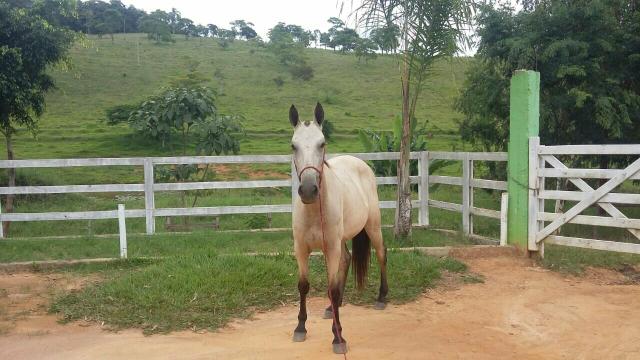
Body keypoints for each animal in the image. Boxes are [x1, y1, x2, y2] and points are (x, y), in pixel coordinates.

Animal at [292, 102, 390, 354]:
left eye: (322, 143)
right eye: (293, 145)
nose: (309, 190)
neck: (314, 211)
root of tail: (360, 163)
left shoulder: (332, 248)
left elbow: (333, 288)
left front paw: (338, 337)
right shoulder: (301, 249)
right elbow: (303, 285)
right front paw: (300, 328)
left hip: (373, 226)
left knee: (381, 253)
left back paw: (381, 298)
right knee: (347, 260)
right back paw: (331, 308)